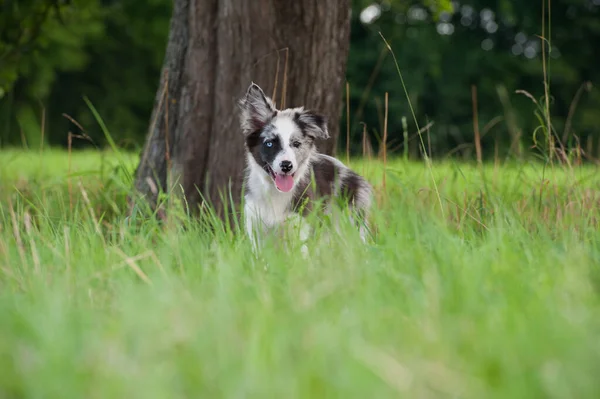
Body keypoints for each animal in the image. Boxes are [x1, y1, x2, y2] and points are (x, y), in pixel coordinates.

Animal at [238, 83, 370, 253]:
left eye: (296, 144)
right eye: (270, 143)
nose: (286, 166)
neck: (276, 194)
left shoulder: (300, 228)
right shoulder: (256, 229)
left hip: (349, 222)